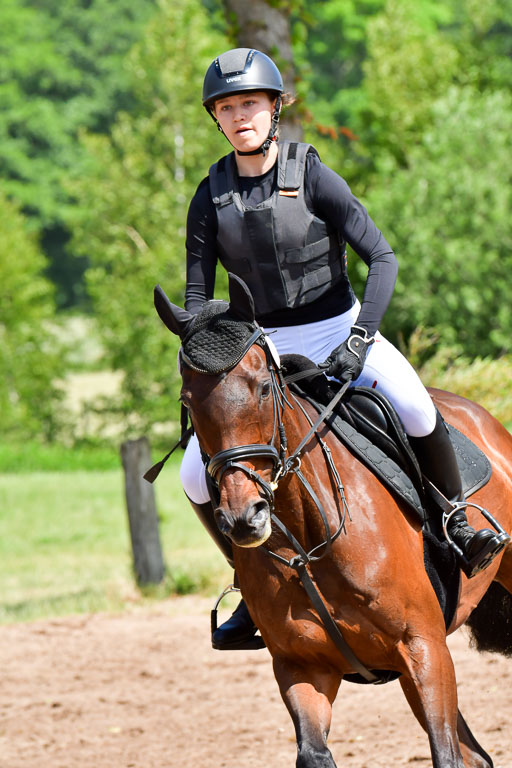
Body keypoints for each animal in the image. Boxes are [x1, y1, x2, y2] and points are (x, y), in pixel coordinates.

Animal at [155, 274, 512, 768]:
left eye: (263, 387)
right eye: (187, 400)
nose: (245, 517)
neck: (310, 542)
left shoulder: (425, 649)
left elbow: (444, 753)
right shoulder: (303, 668)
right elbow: (315, 753)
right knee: (476, 756)